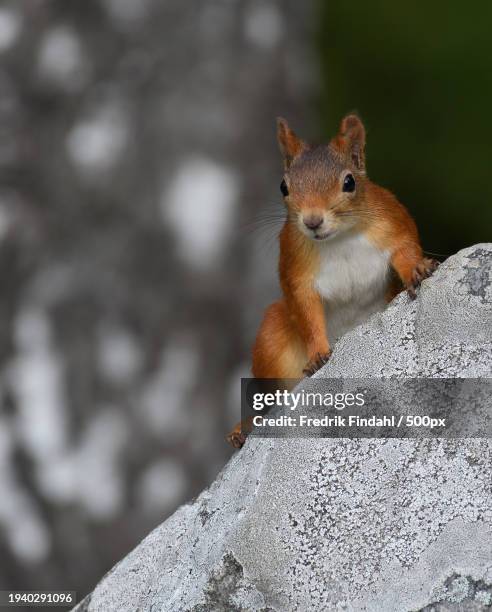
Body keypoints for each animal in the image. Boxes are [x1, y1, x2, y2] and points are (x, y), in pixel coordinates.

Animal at [227, 116, 438, 450]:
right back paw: (245, 427)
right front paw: (317, 355)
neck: (340, 238)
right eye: (284, 186)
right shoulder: (296, 268)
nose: (312, 221)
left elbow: (405, 252)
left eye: (349, 182)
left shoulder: (394, 224)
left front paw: (417, 270)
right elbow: (307, 312)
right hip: (272, 337)